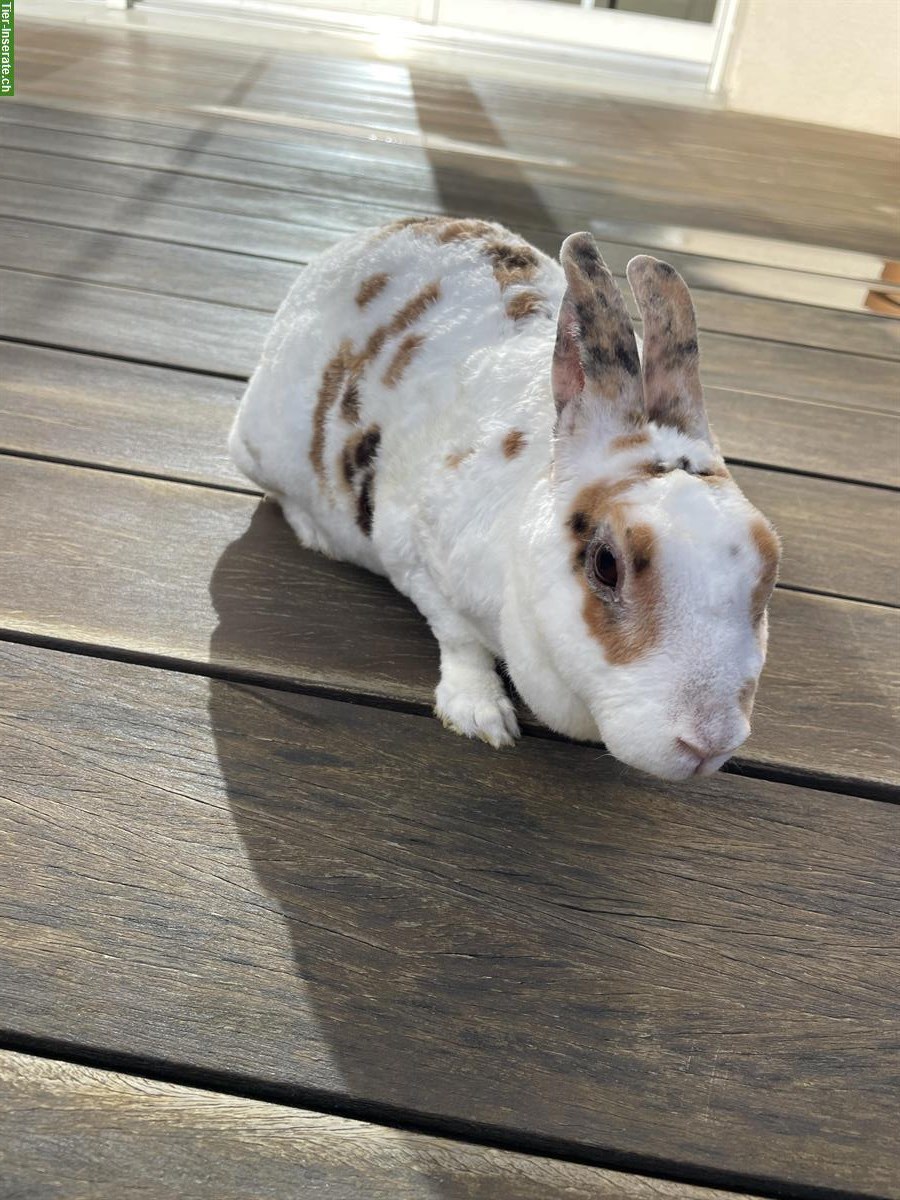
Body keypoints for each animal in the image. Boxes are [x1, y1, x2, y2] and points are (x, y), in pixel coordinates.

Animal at [230, 217, 781, 781]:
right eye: (606, 564)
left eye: (770, 564)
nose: (708, 744)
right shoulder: (412, 553)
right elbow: (458, 638)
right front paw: (480, 716)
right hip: (259, 448)